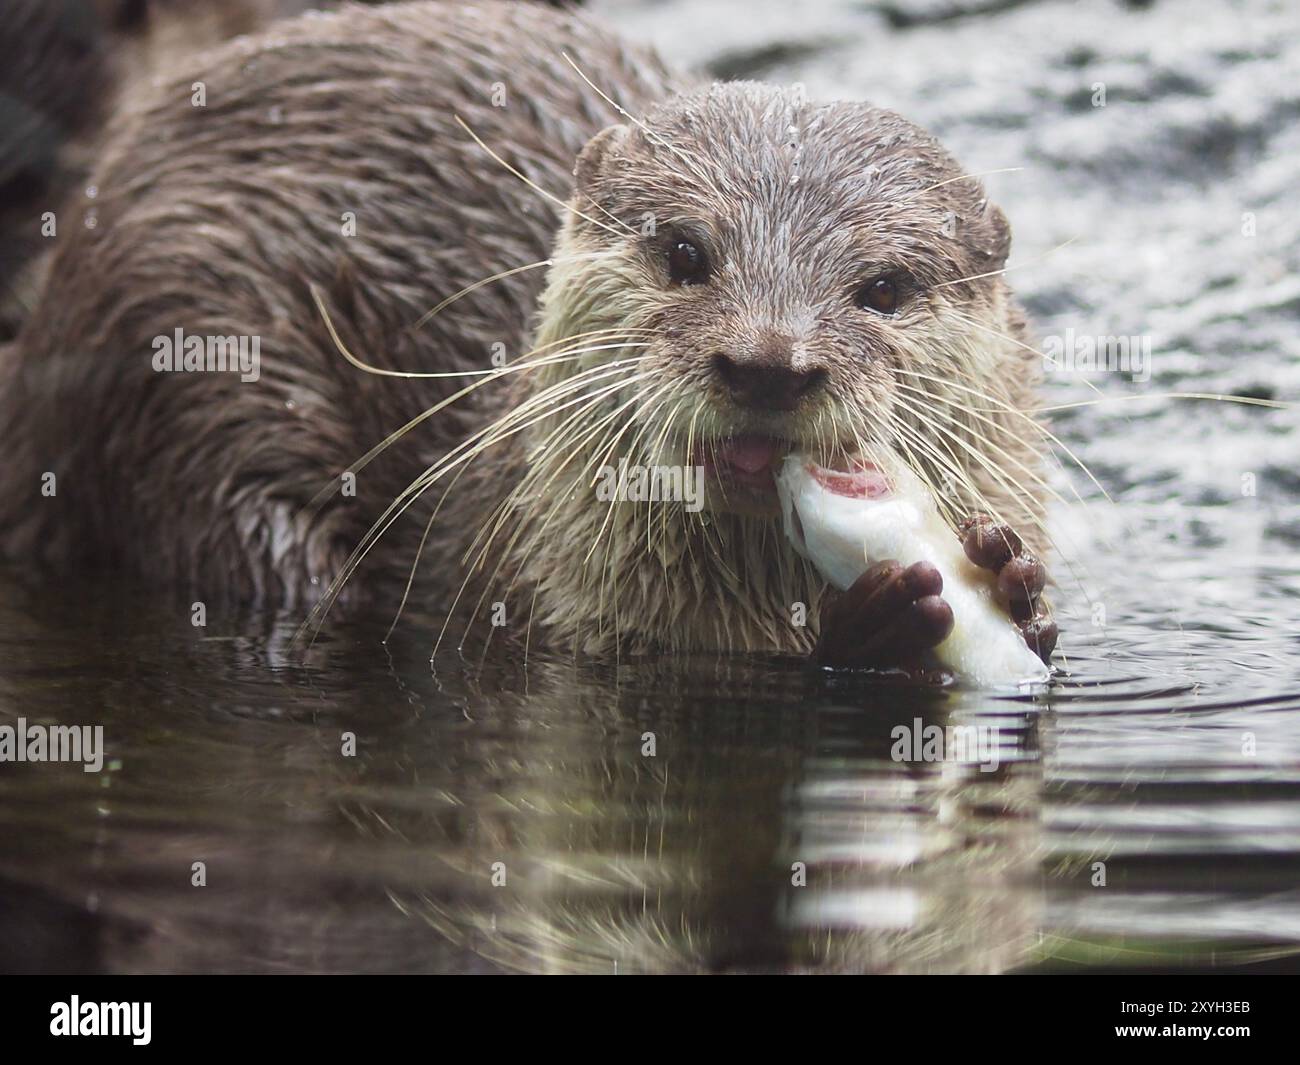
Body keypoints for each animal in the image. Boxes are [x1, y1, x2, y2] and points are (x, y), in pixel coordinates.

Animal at [0, 0, 1055, 670]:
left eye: (883, 287)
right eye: (684, 249)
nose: (766, 362)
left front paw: (1014, 581)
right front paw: (878, 624)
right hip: (177, 354)